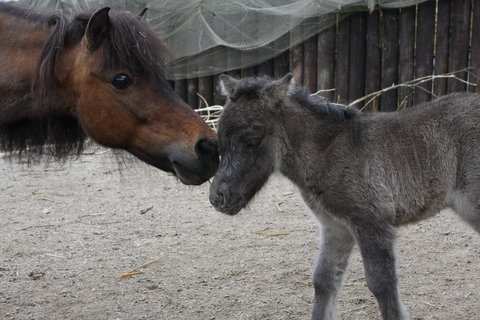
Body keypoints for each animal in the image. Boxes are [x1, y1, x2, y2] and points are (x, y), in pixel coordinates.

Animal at [210, 74, 480, 318]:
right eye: (219, 140)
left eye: (252, 142)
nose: (218, 197)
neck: (326, 153)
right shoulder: (336, 227)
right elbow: (323, 280)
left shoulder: (371, 222)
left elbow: (382, 284)